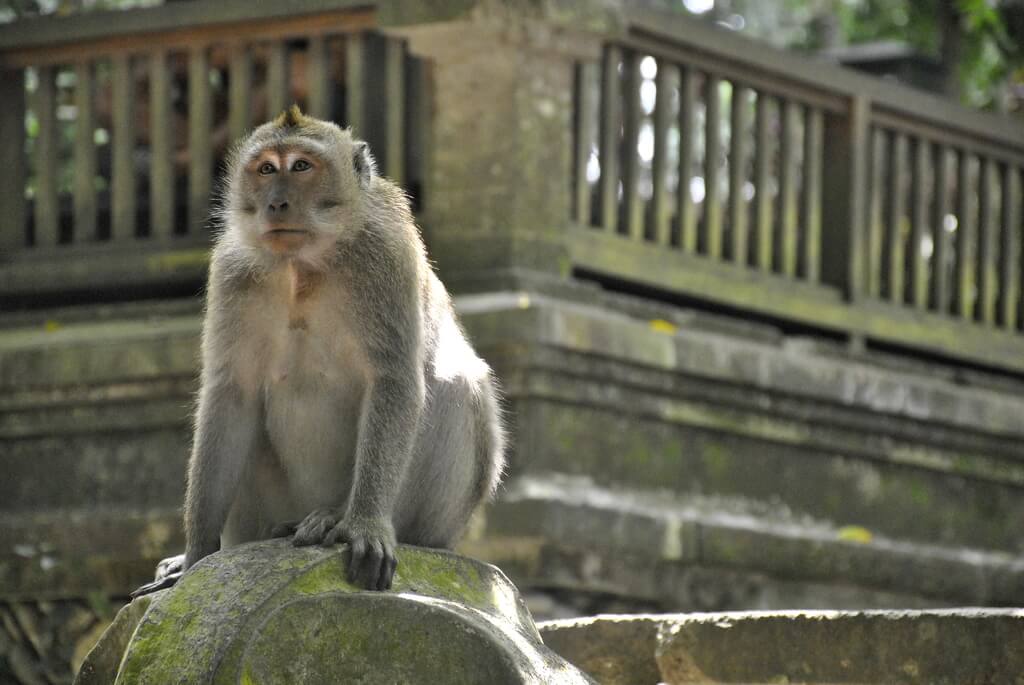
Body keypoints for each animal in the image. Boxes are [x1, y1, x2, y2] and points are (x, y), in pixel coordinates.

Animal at [130, 105, 505, 593]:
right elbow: (231, 395)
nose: (276, 203)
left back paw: (335, 518)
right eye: (266, 169)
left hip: (435, 521)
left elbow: (394, 380)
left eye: (302, 166)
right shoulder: (231, 272)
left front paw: (364, 524)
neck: (303, 265)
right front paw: (195, 556)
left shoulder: (386, 257)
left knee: (458, 386)